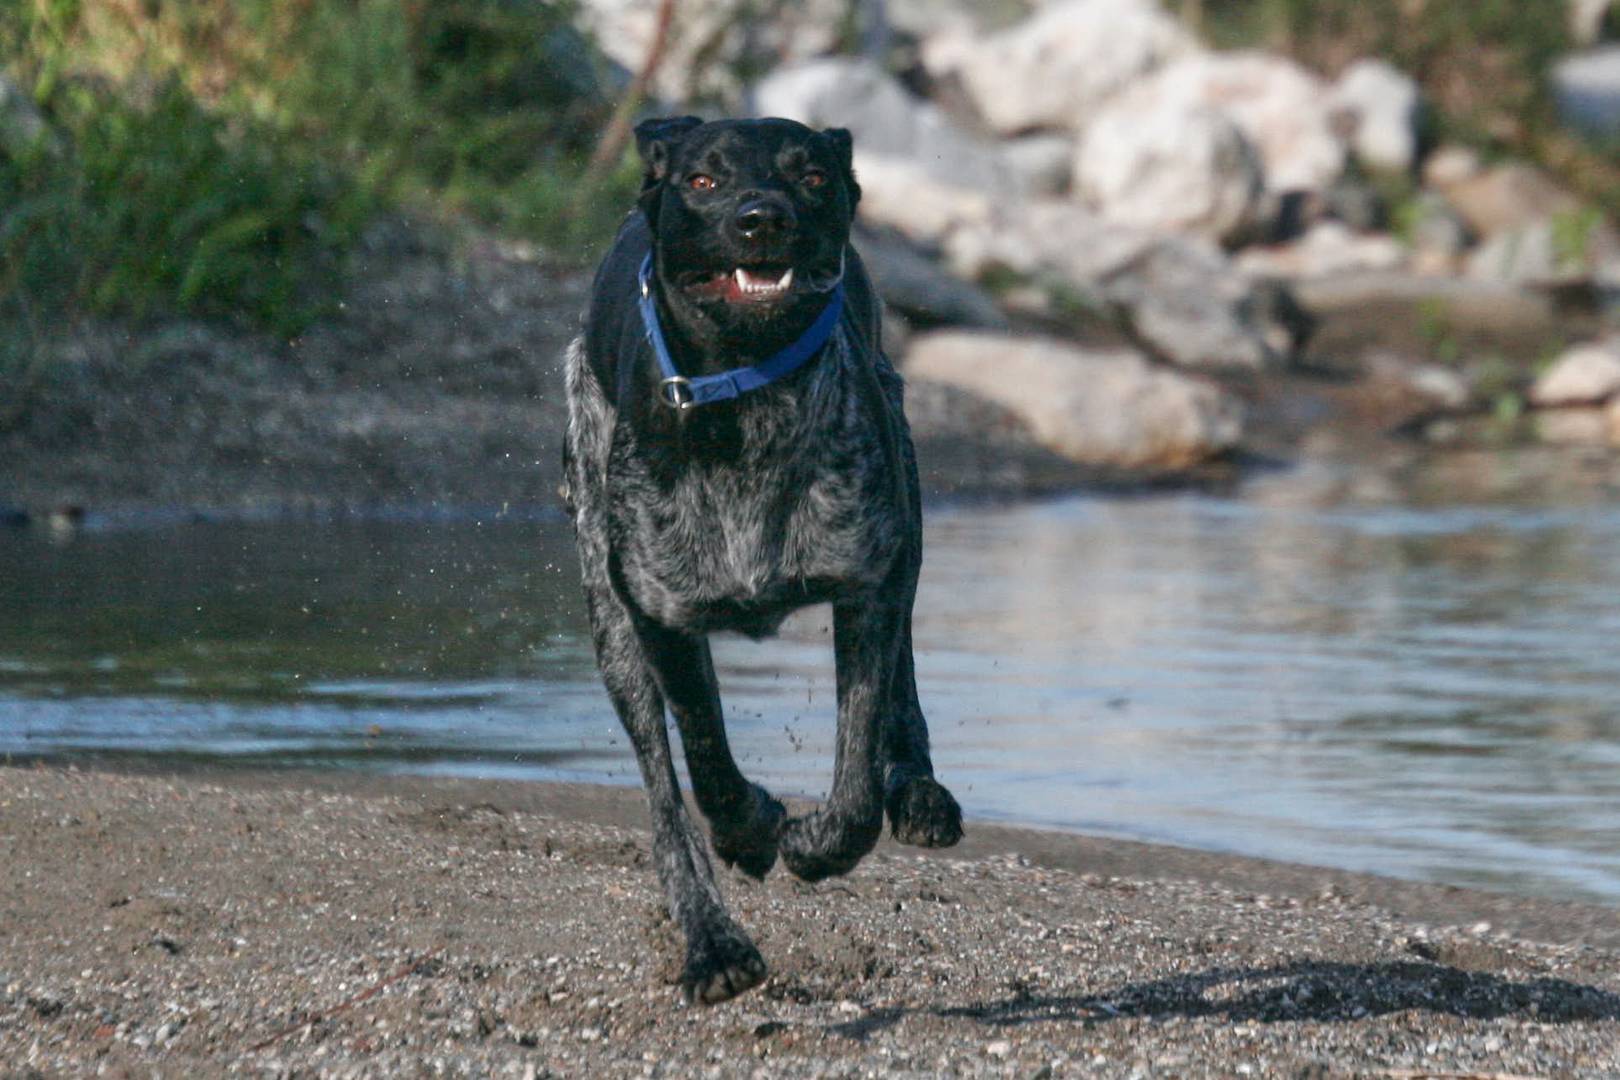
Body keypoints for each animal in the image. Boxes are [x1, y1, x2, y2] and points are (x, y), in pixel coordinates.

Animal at [563, 116, 959, 1003]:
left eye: (810, 175)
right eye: (704, 181)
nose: (760, 218)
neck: (748, 403)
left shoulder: (870, 579)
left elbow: (857, 774)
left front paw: (819, 841)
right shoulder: (659, 614)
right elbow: (707, 762)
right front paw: (750, 829)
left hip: (909, 514)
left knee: (906, 682)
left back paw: (918, 791)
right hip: (609, 622)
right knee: (665, 800)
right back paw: (713, 944)